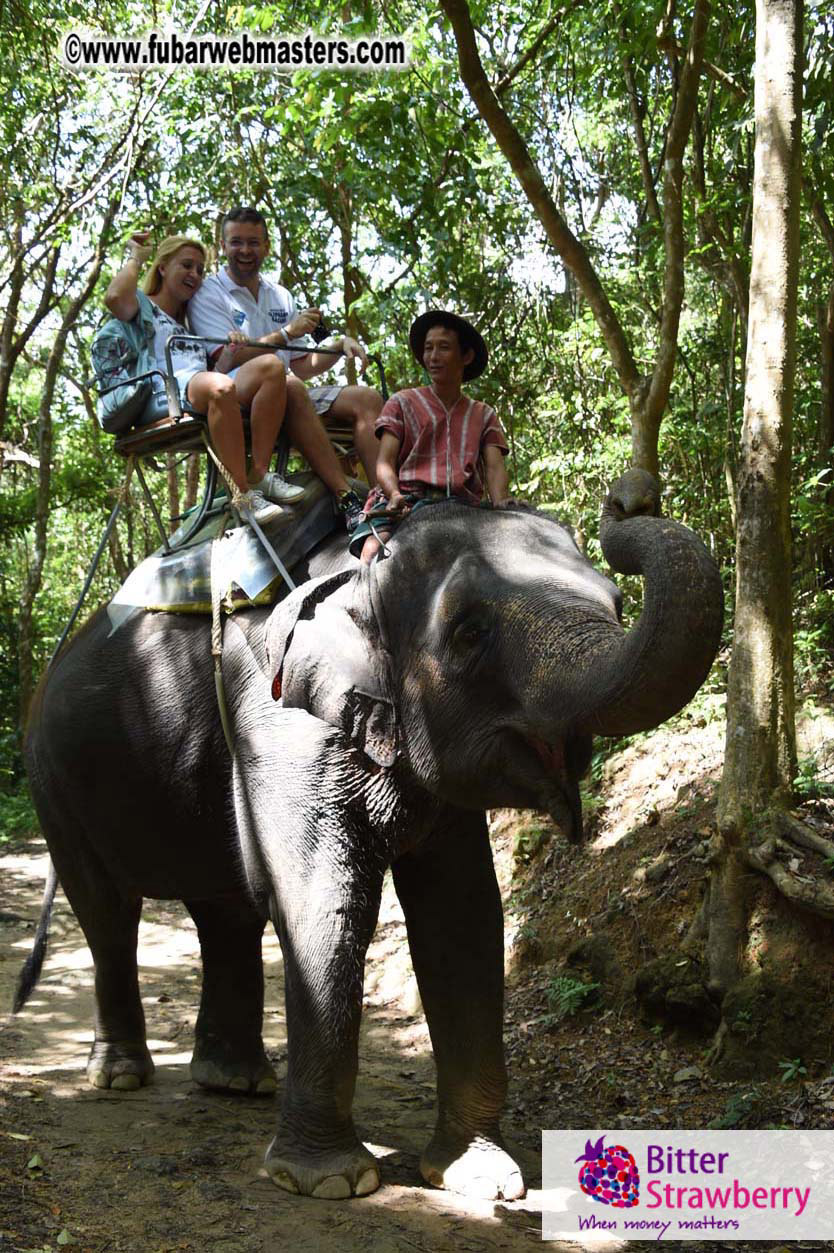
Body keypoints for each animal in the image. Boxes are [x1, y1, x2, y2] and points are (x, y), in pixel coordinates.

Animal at [17, 468, 722, 1202]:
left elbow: (464, 915)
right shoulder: (277, 713)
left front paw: (481, 1180)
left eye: (616, 602)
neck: (362, 567)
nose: (632, 494)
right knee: (107, 911)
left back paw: (236, 1082)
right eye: (470, 632)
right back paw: (122, 1075)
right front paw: (331, 1182)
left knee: (225, 912)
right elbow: (325, 905)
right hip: (52, 780)